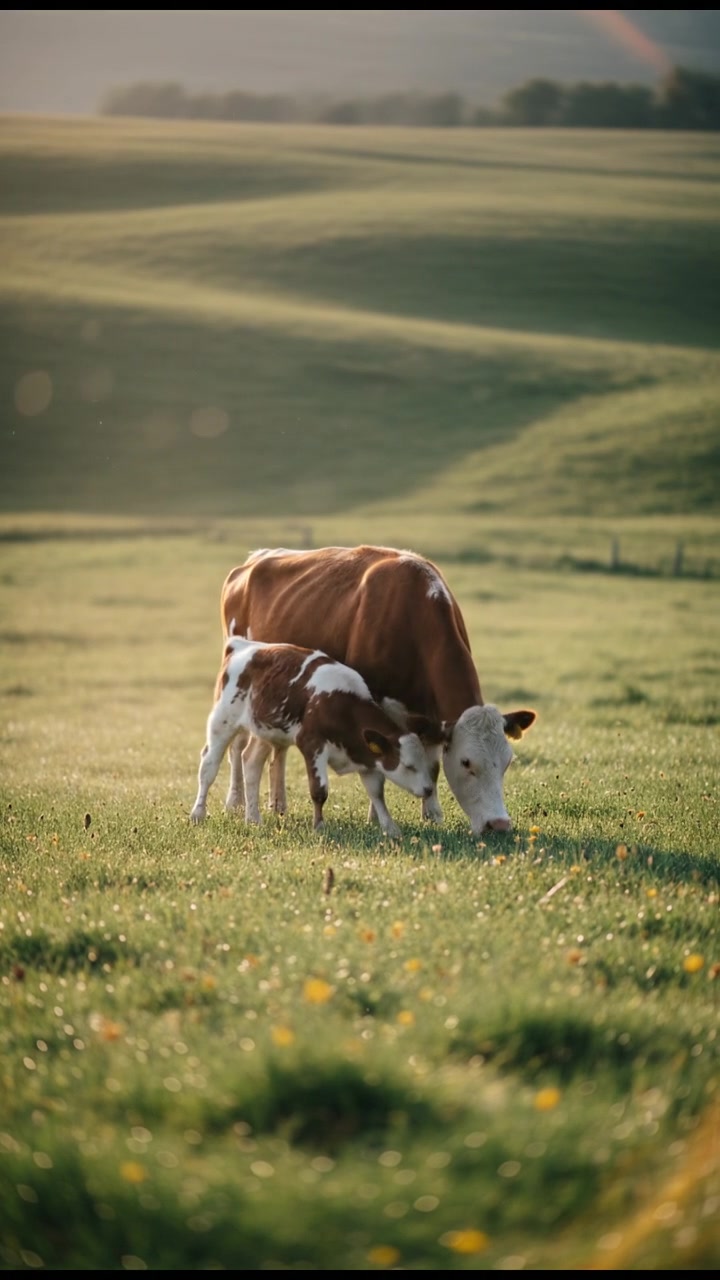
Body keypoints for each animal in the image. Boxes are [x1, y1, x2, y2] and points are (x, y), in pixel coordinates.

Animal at [190, 631, 441, 838]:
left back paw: (253, 819)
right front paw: (319, 826)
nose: (428, 789)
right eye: (409, 766)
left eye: (425, 763)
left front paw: (390, 828)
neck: (340, 705)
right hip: (223, 722)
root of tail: (242, 646)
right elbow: (319, 791)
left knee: (251, 763)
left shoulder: (366, 756)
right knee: (208, 766)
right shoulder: (312, 745)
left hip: (265, 730)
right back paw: (198, 813)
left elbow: (377, 792)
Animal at [218, 545, 536, 836]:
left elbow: (432, 766)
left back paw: (278, 804)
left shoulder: (431, 716)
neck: (412, 613)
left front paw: (432, 814)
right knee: (238, 746)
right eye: (466, 762)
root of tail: (253, 560)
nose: (499, 825)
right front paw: (376, 816)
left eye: (507, 762)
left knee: (277, 749)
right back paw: (234, 802)